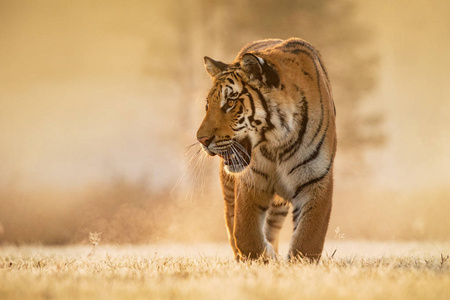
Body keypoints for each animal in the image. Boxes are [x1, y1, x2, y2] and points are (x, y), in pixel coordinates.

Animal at [196, 38, 334, 262]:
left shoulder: (315, 180)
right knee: (232, 223)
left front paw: (296, 263)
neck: (277, 142)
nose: (201, 139)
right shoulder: (251, 182)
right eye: (208, 106)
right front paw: (265, 257)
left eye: (231, 102)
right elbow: (245, 235)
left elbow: (308, 240)